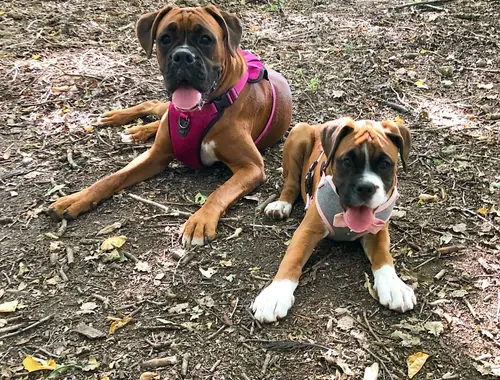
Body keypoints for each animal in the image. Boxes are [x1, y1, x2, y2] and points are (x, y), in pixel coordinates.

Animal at [48, 5, 292, 246]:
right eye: (165, 39)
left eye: (206, 39)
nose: (182, 56)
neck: (197, 114)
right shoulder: (155, 156)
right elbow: (111, 178)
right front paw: (75, 199)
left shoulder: (251, 166)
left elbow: (220, 191)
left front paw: (200, 221)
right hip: (166, 109)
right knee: (153, 105)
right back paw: (122, 120)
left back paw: (136, 131)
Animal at [252, 118, 416, 320]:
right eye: (346, 162)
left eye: (385, 164)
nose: (366, 187)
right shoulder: (307, 230)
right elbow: (292, 258)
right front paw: (275, 294)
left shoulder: (377, 232)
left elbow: (384, 256)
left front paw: (394, 286)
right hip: (299, 134)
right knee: (291, 183)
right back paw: (281, 205)